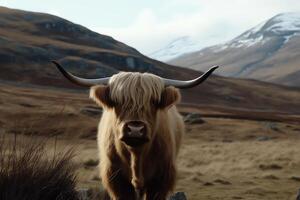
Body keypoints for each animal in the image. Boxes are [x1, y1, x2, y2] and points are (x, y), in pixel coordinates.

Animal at [52, 61, 217, 200]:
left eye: (153, 101)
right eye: (117, 101)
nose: (135, 129)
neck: (136, 156)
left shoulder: (161, 179)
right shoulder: (115, 178)